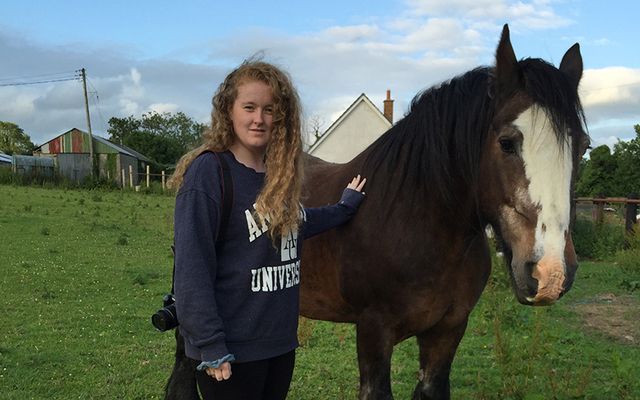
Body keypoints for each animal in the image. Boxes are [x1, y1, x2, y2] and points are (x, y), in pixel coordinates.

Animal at [164, 25, 592, 400]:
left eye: (583, 145)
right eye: (506, 142)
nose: (550, 272)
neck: (418, 222)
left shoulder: (447, 332)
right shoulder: (373, 333)